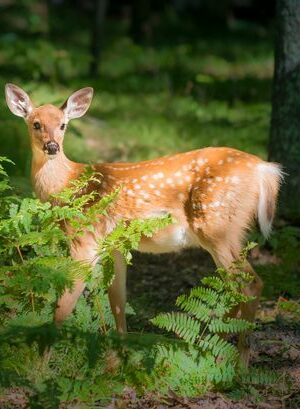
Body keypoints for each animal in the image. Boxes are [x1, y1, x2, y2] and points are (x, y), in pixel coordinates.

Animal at [5, 83, 284, 364]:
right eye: (36, 123)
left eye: (63, 125)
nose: (52, 146)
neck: (69, 183)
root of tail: (264, 168)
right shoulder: (114, 246)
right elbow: (117, 301)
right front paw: (118, 363)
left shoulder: (85, 240)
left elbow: (64, 304)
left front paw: (39, 364)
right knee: (235, 289)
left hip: (219, 227)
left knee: (250, 284)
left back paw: (238, 364)